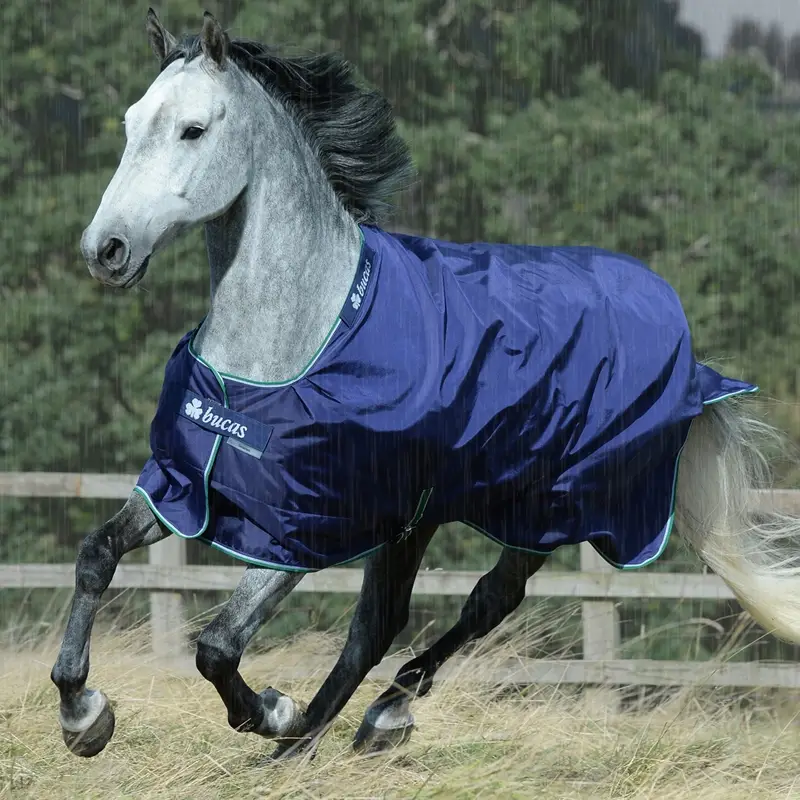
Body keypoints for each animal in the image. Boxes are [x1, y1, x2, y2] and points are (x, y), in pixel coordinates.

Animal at [52, 8, 800, 762]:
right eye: (130, 122)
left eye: (194, 129)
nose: (105, 250)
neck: (291, 345)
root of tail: (681, 335)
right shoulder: (185, 484)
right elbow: (96, 555)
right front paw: (83, 713)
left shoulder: (307, 526)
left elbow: (217, 646)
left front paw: (272, 708)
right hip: (422, 517)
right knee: (380, 623)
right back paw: (315, 742)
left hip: (543, 506)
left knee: (483, 603)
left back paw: (362, 720)